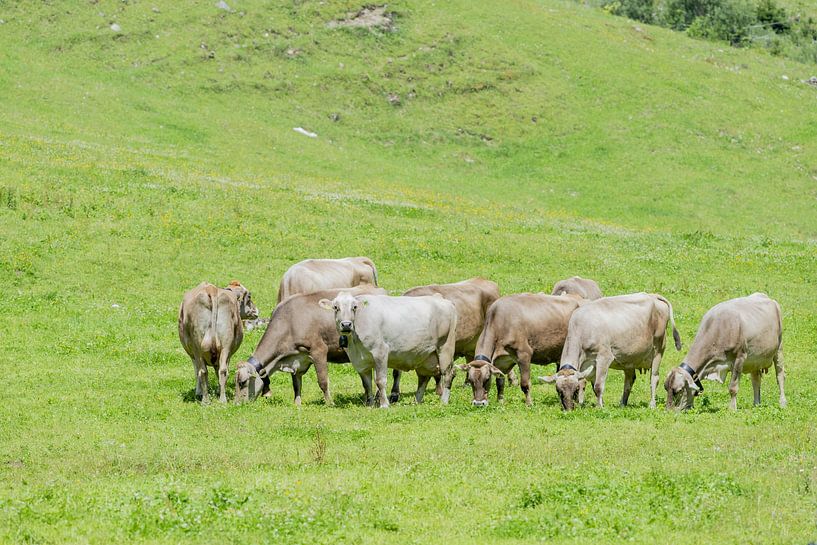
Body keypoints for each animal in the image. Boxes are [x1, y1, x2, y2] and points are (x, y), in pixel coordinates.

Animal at [234, 285, 386, 405]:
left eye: (242, 382)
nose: (237, 404)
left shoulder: (319, 350)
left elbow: (323, 381)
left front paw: (330, 403)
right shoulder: (297, 358)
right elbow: (296, 384)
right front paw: (297, 403)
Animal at [318, 292, 457, 407]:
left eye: (354, 307)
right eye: (336, 307)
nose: (346, 324)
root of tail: (442, 300)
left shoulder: (381, 352)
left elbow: (380, 381)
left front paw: (384, 404)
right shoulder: (360, 362)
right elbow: (367, 384)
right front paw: (369, 404)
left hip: (445, 348)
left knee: (448, 374)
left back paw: (444, 401)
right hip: (424, 355)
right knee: (423, 378)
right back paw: (416, 401)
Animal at [540, 293, 681, 410]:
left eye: (575, 389)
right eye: (558, 390)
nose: (569, 408)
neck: (583, 328)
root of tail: (653, 295)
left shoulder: (604, 357)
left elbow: (598, 386)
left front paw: (600, 408)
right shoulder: (588, 366)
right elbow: (588, 383)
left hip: (658, 349)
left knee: (654, 378)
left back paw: (652, 404)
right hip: (629, 358)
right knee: (629, 380)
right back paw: (622, 404)